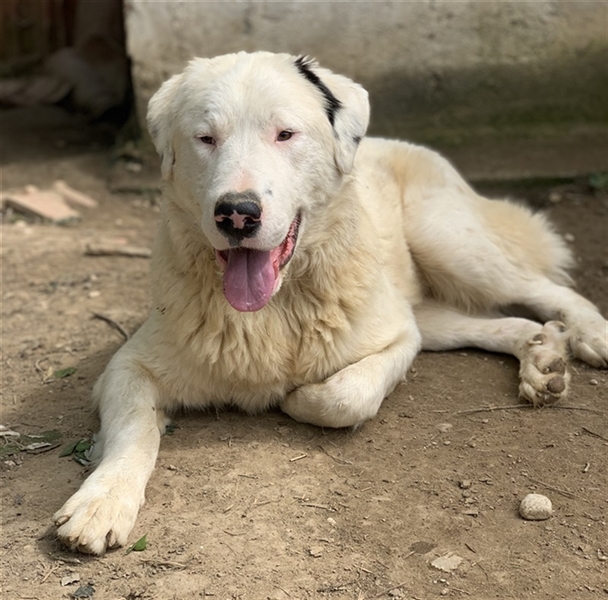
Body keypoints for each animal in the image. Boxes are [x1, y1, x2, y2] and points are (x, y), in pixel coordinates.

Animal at [54, 51, 607, 554]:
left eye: (285, 134)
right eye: (205, 138)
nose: (237, 214)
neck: (274, 310)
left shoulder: (397, 337)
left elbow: (343, 397)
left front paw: (292, 397)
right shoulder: (128, 366)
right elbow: (133, 430)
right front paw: (101, 502)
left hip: (449, 244)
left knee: (546, 289)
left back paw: (589, 334)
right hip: (428, 303)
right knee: (497, 322)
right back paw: (542, 355)